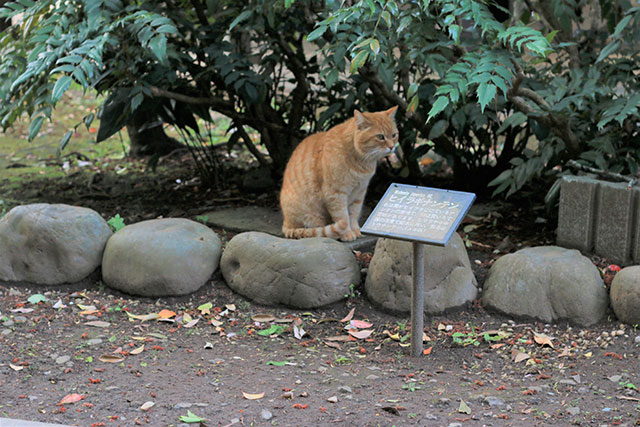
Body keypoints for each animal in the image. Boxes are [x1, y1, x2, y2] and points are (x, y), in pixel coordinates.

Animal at [282, 105, 400, 242]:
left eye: (394, 135)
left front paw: (356, 231)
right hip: (313, 216)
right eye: (380, 137)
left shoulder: (359, 193)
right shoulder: (336, 194)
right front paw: (347, 234)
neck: (361, 162)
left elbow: (353, 214)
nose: (392, 147)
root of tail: (285, 223)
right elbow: (343, 217)